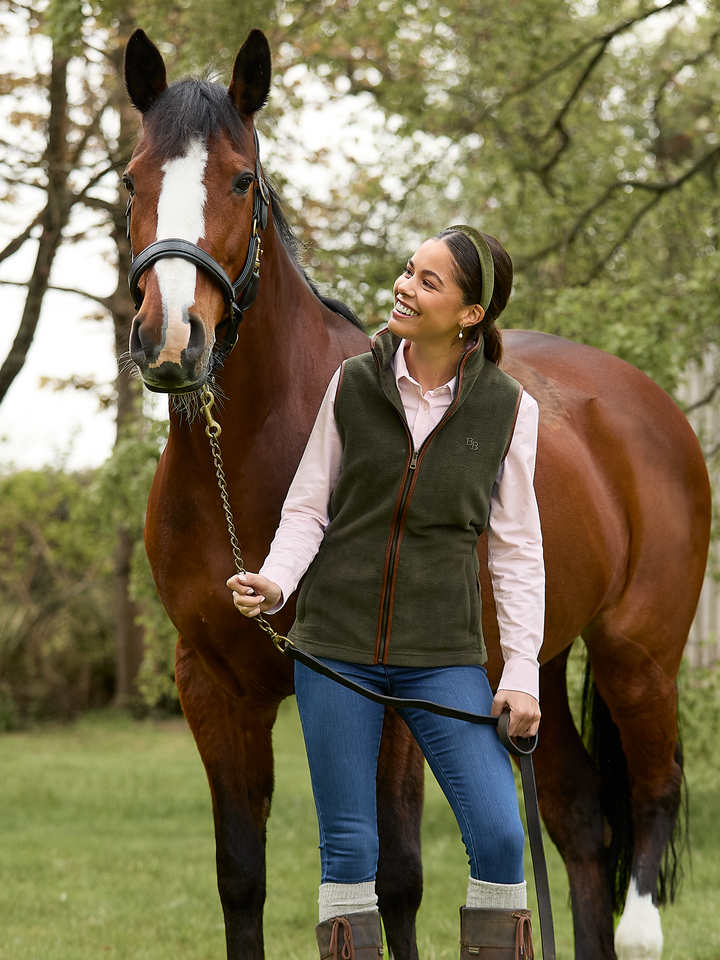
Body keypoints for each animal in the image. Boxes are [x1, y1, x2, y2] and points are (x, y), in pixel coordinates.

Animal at [122, 28, 708, 960]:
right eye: (133, 179)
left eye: (242, 179)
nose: (172, 341)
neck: (253, 462)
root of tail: (642, 401)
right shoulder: (215, 690)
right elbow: (241, 879)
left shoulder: (388, 696)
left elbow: (395, 880)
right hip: (532, 675)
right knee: (581, 827)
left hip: (638, 655)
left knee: (652, 808)